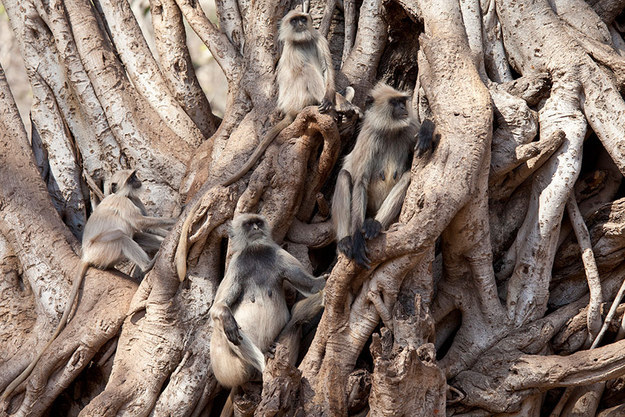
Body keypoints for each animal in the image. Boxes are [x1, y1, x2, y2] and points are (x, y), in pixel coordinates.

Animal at [1, 170, 176, 400]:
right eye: (131, 178)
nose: (138, 181)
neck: (124, 195)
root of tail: (86, 256)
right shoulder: (124, 202)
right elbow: (139, 223)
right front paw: (176, 218)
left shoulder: (134, 200)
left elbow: (141, 228)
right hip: (104, 251)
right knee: (123, 236)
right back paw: (148, 265)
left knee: (135, 235)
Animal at [211, 214, 326, 416]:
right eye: (249, 224)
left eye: (258, 222)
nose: (256, 228)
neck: (256, 252)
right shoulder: (236, 264)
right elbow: (218, 307)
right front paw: (227, 319)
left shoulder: (277, 253)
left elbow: (313, 286)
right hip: (230, 370)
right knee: (221, 328)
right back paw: (262, 361)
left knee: (297, 318)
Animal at [332, 83, 434, 268]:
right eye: (394, 102)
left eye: (402, 101)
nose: (403, 108)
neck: (389, 130)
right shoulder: (368, 137)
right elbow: (360, 181)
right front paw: (357, 241)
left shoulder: (409, 129)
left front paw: (426, 130)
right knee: (344, 175)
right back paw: (345, 241)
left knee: (407, 176)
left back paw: (375, 225)